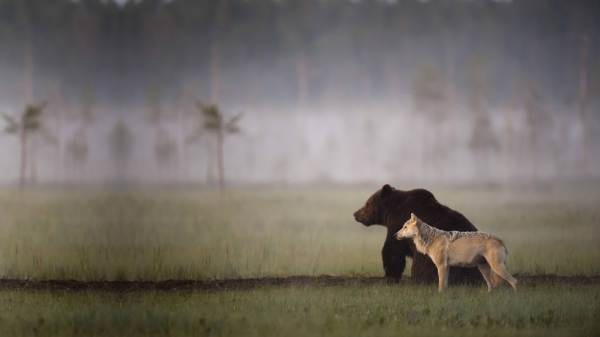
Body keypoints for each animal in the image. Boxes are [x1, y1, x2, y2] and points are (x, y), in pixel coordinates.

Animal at [352, 184, 482, 284]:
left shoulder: (398, 224)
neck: (391, 211)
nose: (355, 213)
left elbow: (392, 251)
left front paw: (390, 276)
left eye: (368, 204)